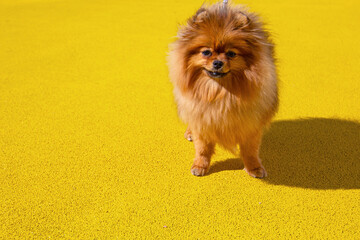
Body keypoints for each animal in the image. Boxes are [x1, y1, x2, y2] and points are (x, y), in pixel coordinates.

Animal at [169, 1, 278, 178]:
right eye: (206, 52)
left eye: (231, 54)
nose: (218, 63)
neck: (221, 92)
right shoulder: (203, 119)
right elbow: (202, 148)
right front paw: (200, 165)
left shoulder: (250, 124)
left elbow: (250, 150)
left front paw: (254, 167)